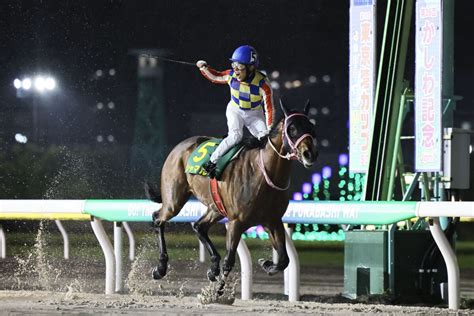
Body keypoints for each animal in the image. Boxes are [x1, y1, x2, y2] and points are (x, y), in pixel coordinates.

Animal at [146, 100, 318, 292]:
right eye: (292, 128)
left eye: (311, 127)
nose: (309, 154)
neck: (263, 175)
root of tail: (180, 146)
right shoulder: (236, 222)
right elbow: (229, 261)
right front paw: (216, 292)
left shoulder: (273, 221)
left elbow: (284, 260)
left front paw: (266, 264)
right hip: (174, 199)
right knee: (158, 219)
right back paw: (160, 268)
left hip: (216, 206)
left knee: (199, 226)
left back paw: (213, 268)